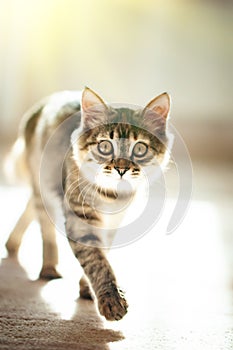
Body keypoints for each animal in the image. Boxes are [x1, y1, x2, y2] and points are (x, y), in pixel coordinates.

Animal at [5, 87, 172, 320]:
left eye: (139, 149)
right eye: (105, 147)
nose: (121, 169)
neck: (112, 196)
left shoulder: (112, 222)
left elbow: (103, 253)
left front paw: (87, 288)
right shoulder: (81, 218)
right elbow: (97, 260)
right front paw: (111, 299)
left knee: (30, 207)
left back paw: (12, 244)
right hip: (44, 186)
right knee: (45, 227)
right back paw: (48, 267)